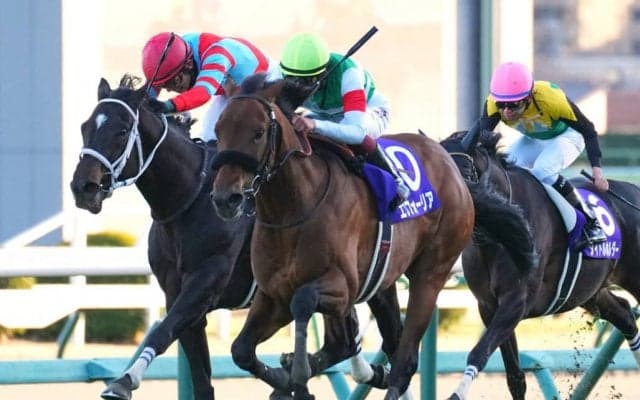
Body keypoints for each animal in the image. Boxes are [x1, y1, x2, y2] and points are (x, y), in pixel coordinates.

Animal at [70, 75, 409, 400]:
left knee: (382, 338)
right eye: (85, 126)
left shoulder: (206, 282)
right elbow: (200, 378)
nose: (83, 187)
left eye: (122, 130)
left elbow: (162, 331)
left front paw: (124, 381)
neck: (190, 199)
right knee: (344, 342)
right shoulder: (180, 296)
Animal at [208, 74, 475, 400]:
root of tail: (447, 160)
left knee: (405, 359)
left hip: (431, 273)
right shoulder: (273, 294)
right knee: (371, 343)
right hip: (382, 282)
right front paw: (286, 380)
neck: (293, 209)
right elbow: (241, 350)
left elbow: (304, 300)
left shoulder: (342, 286)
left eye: (258, 133)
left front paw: (298, 374)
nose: (226, 199)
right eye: (219, 129)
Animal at [440, 125, 640, 400]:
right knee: (624, 313)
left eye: (462, 172)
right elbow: (514, 376)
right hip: (589, 291)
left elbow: (479, 352)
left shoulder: (517, 301)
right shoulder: (489, 306)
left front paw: (456, 394)